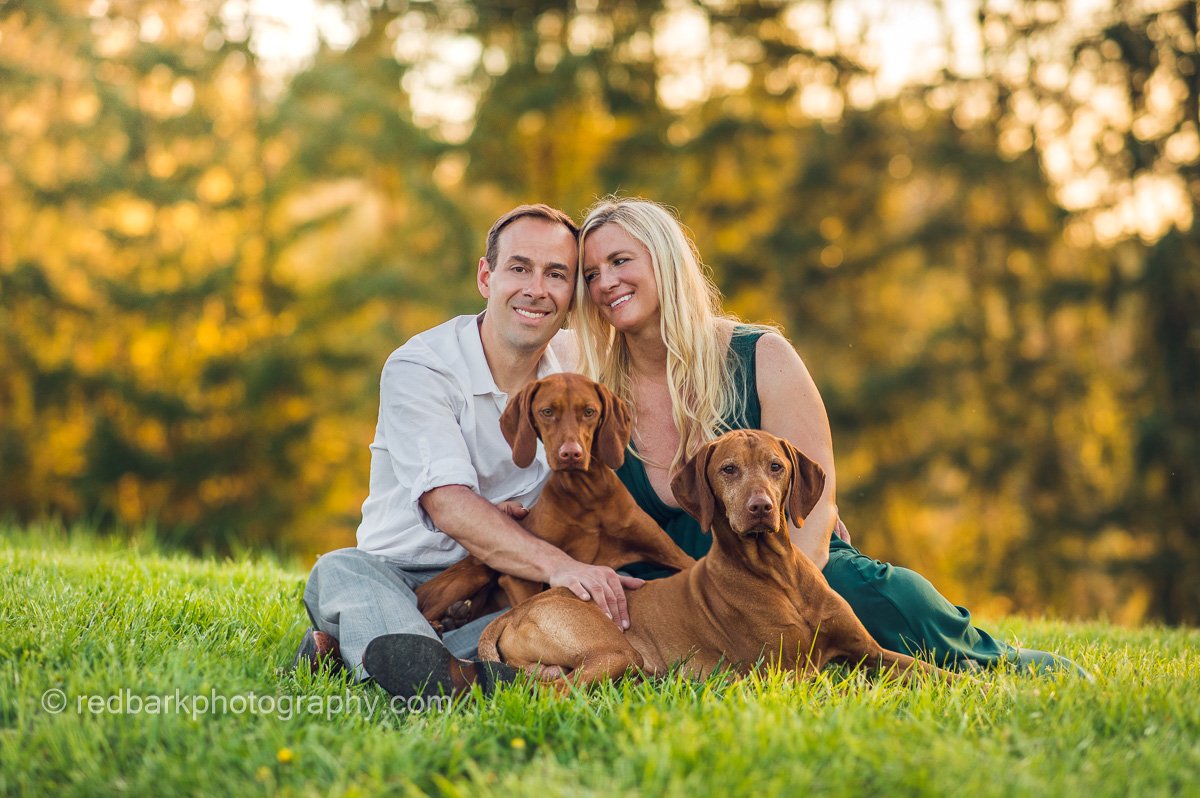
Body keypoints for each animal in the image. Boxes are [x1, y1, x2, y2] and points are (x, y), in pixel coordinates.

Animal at [412, 372, 696, 628]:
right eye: (547, 411)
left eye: (589, 411)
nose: (570, 453)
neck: (589, 496)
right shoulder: (519, 578)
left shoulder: (675, 555)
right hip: (475, 571)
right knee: (427, 613)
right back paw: (448, 618)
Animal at [472, 429, 960, 686]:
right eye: (728, 469)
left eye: (776, 466)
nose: (761, 507)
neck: (777, 573)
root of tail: (514, 612)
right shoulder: (785, 672)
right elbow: (836, 688)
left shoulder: (869, 650)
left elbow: (934, 670)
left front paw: (979, 687)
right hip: (613, 652)